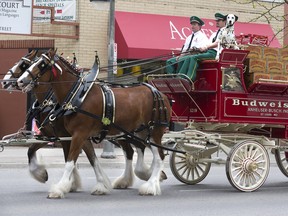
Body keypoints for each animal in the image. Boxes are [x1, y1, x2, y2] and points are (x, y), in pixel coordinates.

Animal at [3, 50, 111, 196]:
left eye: (24, 64)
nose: (5, 81)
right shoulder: (51, 135)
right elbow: (31, 150)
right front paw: (43, 175)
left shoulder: (73, 135)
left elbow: (80, 157)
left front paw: (70, 183)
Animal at [17, 49, 171, 197]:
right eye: (30, 64)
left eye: (42, 64)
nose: (20, 81)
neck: (77, 97)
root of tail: (160, 94)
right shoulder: (74, 136)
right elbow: (92, 160)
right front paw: (100, 185)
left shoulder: (78, 134)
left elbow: (70, 162)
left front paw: (59, 188)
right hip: (137, 132)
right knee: (139, 151)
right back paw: (140, 178)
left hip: (153, 131)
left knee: (159, 157)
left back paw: (151, 185)